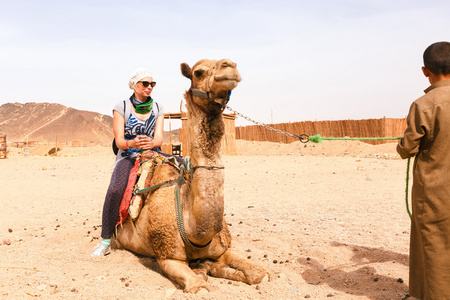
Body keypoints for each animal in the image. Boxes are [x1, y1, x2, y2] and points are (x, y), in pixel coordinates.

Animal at [115, 58, 270, 292]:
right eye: (198, 72)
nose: (230, 65)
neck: (193, 230)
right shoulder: (169, 257)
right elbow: (199, 286)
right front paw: (204, 273)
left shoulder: (222, 249)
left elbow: (258, 273)